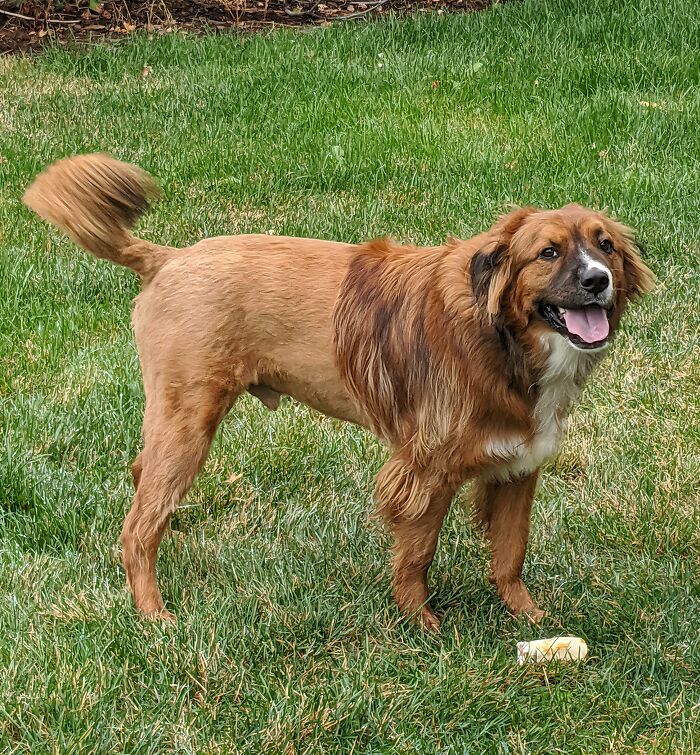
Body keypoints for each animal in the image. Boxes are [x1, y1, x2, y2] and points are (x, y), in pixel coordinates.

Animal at [23, 155, 656, 632]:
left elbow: (510, 554)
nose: (597, 280)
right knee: (135, 527)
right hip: (188, 421)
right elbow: (417, 555)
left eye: (605, 246)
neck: (502, 337)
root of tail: (168, 258)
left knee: (143, 486)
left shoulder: (518, 468)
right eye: (547, 253)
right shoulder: (424, 471)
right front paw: (422, 626)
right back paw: (153, 613)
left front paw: (528, 619)